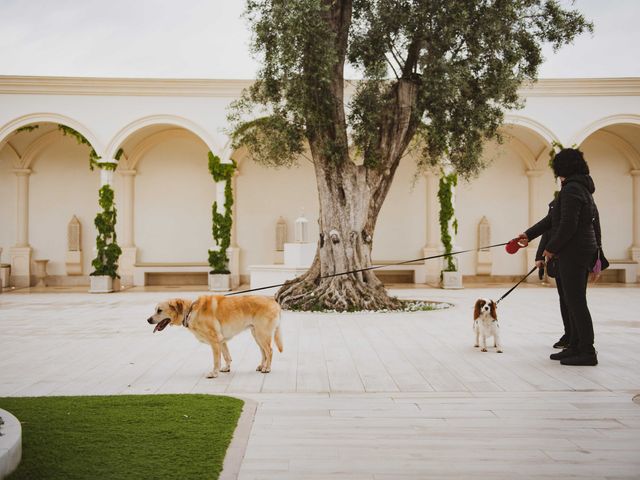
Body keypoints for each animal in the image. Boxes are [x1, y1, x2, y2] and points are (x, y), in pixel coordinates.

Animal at [149, 296, 284, 378]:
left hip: (262, 334)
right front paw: (227, 368)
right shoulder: (221, 341)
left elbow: (216, 360)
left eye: (159, 310)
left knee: (270, 351)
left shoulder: (214, 341)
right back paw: (262, 366)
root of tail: (273, 300)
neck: (190, 311)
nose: (148, 320)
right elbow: (227, 356)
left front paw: (214, 373)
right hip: (257, 335)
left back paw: (267, 368)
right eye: (155, 310)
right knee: (264, 352)